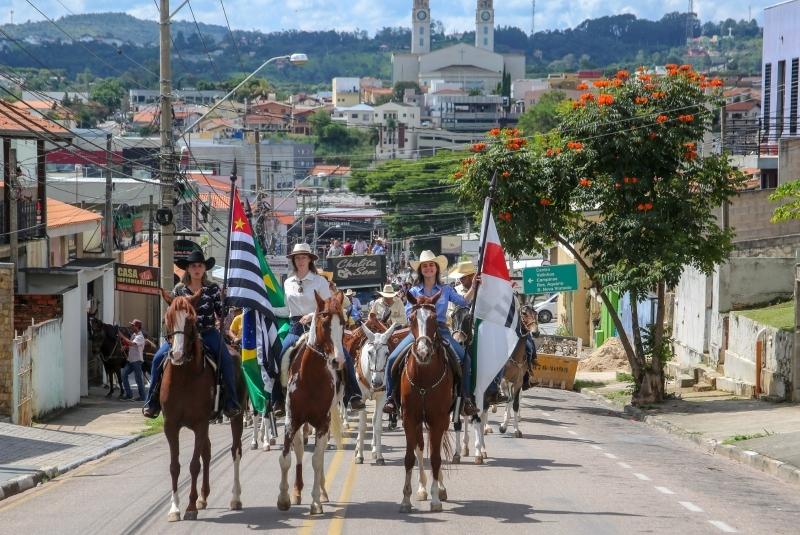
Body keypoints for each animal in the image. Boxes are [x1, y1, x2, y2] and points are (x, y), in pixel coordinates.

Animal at [156, 288, 244, 524]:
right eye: (167, 319)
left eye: (191, 321)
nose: (176, 355)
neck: (184, 376)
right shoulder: (171, 425)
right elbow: (175, 467)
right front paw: (175, 509)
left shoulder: (200, 423)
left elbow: (194, 465)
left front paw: (190, 507)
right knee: (208, 452)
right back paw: (203, 498)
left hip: (237, 416)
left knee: (235, 451)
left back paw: (235, 498)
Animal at [276, 292, 346, 516]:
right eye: (324, 323)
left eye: (342, 323)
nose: (338, 361)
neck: (311, 377)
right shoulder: (291, 421)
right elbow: (286, 459)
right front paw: (283, 498)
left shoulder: (322, 423)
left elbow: (316, 460)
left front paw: (316, 502)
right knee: (299, 451)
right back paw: (297, 491)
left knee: (320, 456)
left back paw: (322, 492)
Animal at [354, 322, 398, 464]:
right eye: (369, 352)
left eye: (387, 353)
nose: (377, 382)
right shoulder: (361, 399)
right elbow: (362, 426)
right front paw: (359, 455)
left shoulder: (381, 398)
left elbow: (377, 425)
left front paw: (379, 456)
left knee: (373, 420)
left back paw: (373, 449)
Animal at [398, 292, 454, 516]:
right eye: (412, 319)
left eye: (434, 320)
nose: (423, 352)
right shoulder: (408, 418)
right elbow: (409, 457)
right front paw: (406, 499)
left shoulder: (438, 419)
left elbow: (437, 458)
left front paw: (436, 499)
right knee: (421, 448)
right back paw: (422, 489)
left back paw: (440, 488)